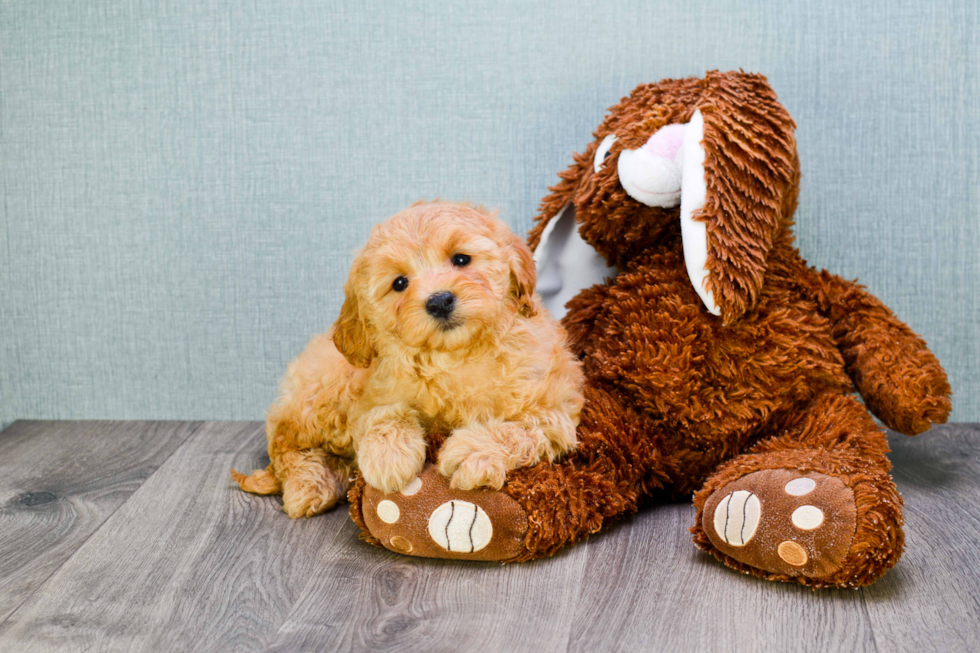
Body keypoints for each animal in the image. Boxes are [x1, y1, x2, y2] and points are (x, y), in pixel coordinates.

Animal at [232, 201, 580, 516]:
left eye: (461, 259)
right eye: (399, 283)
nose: (439, 300)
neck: (455, 355)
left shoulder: (554, 409)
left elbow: (518, 428)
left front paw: (472, 450)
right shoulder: (368, 395)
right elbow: (383, 415)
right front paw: (389, 456)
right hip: (323, 395)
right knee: (284, 441)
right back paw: (310, 484)